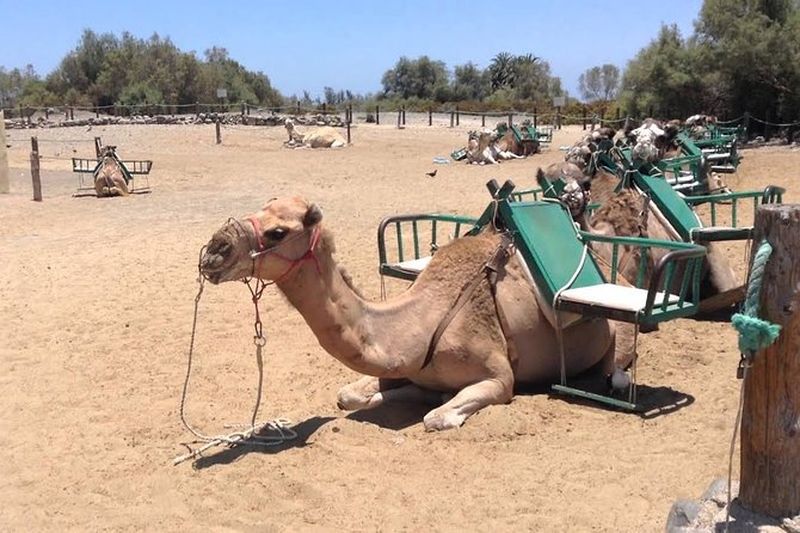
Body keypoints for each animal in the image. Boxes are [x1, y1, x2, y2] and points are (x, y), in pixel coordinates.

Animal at [199, 197, 637, 430]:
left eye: (278, 231)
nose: (213, 252)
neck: (422, 324)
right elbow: (348, 395)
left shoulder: (499, 376)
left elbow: (436, 418)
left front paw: (436, 403)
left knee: (616, 367)